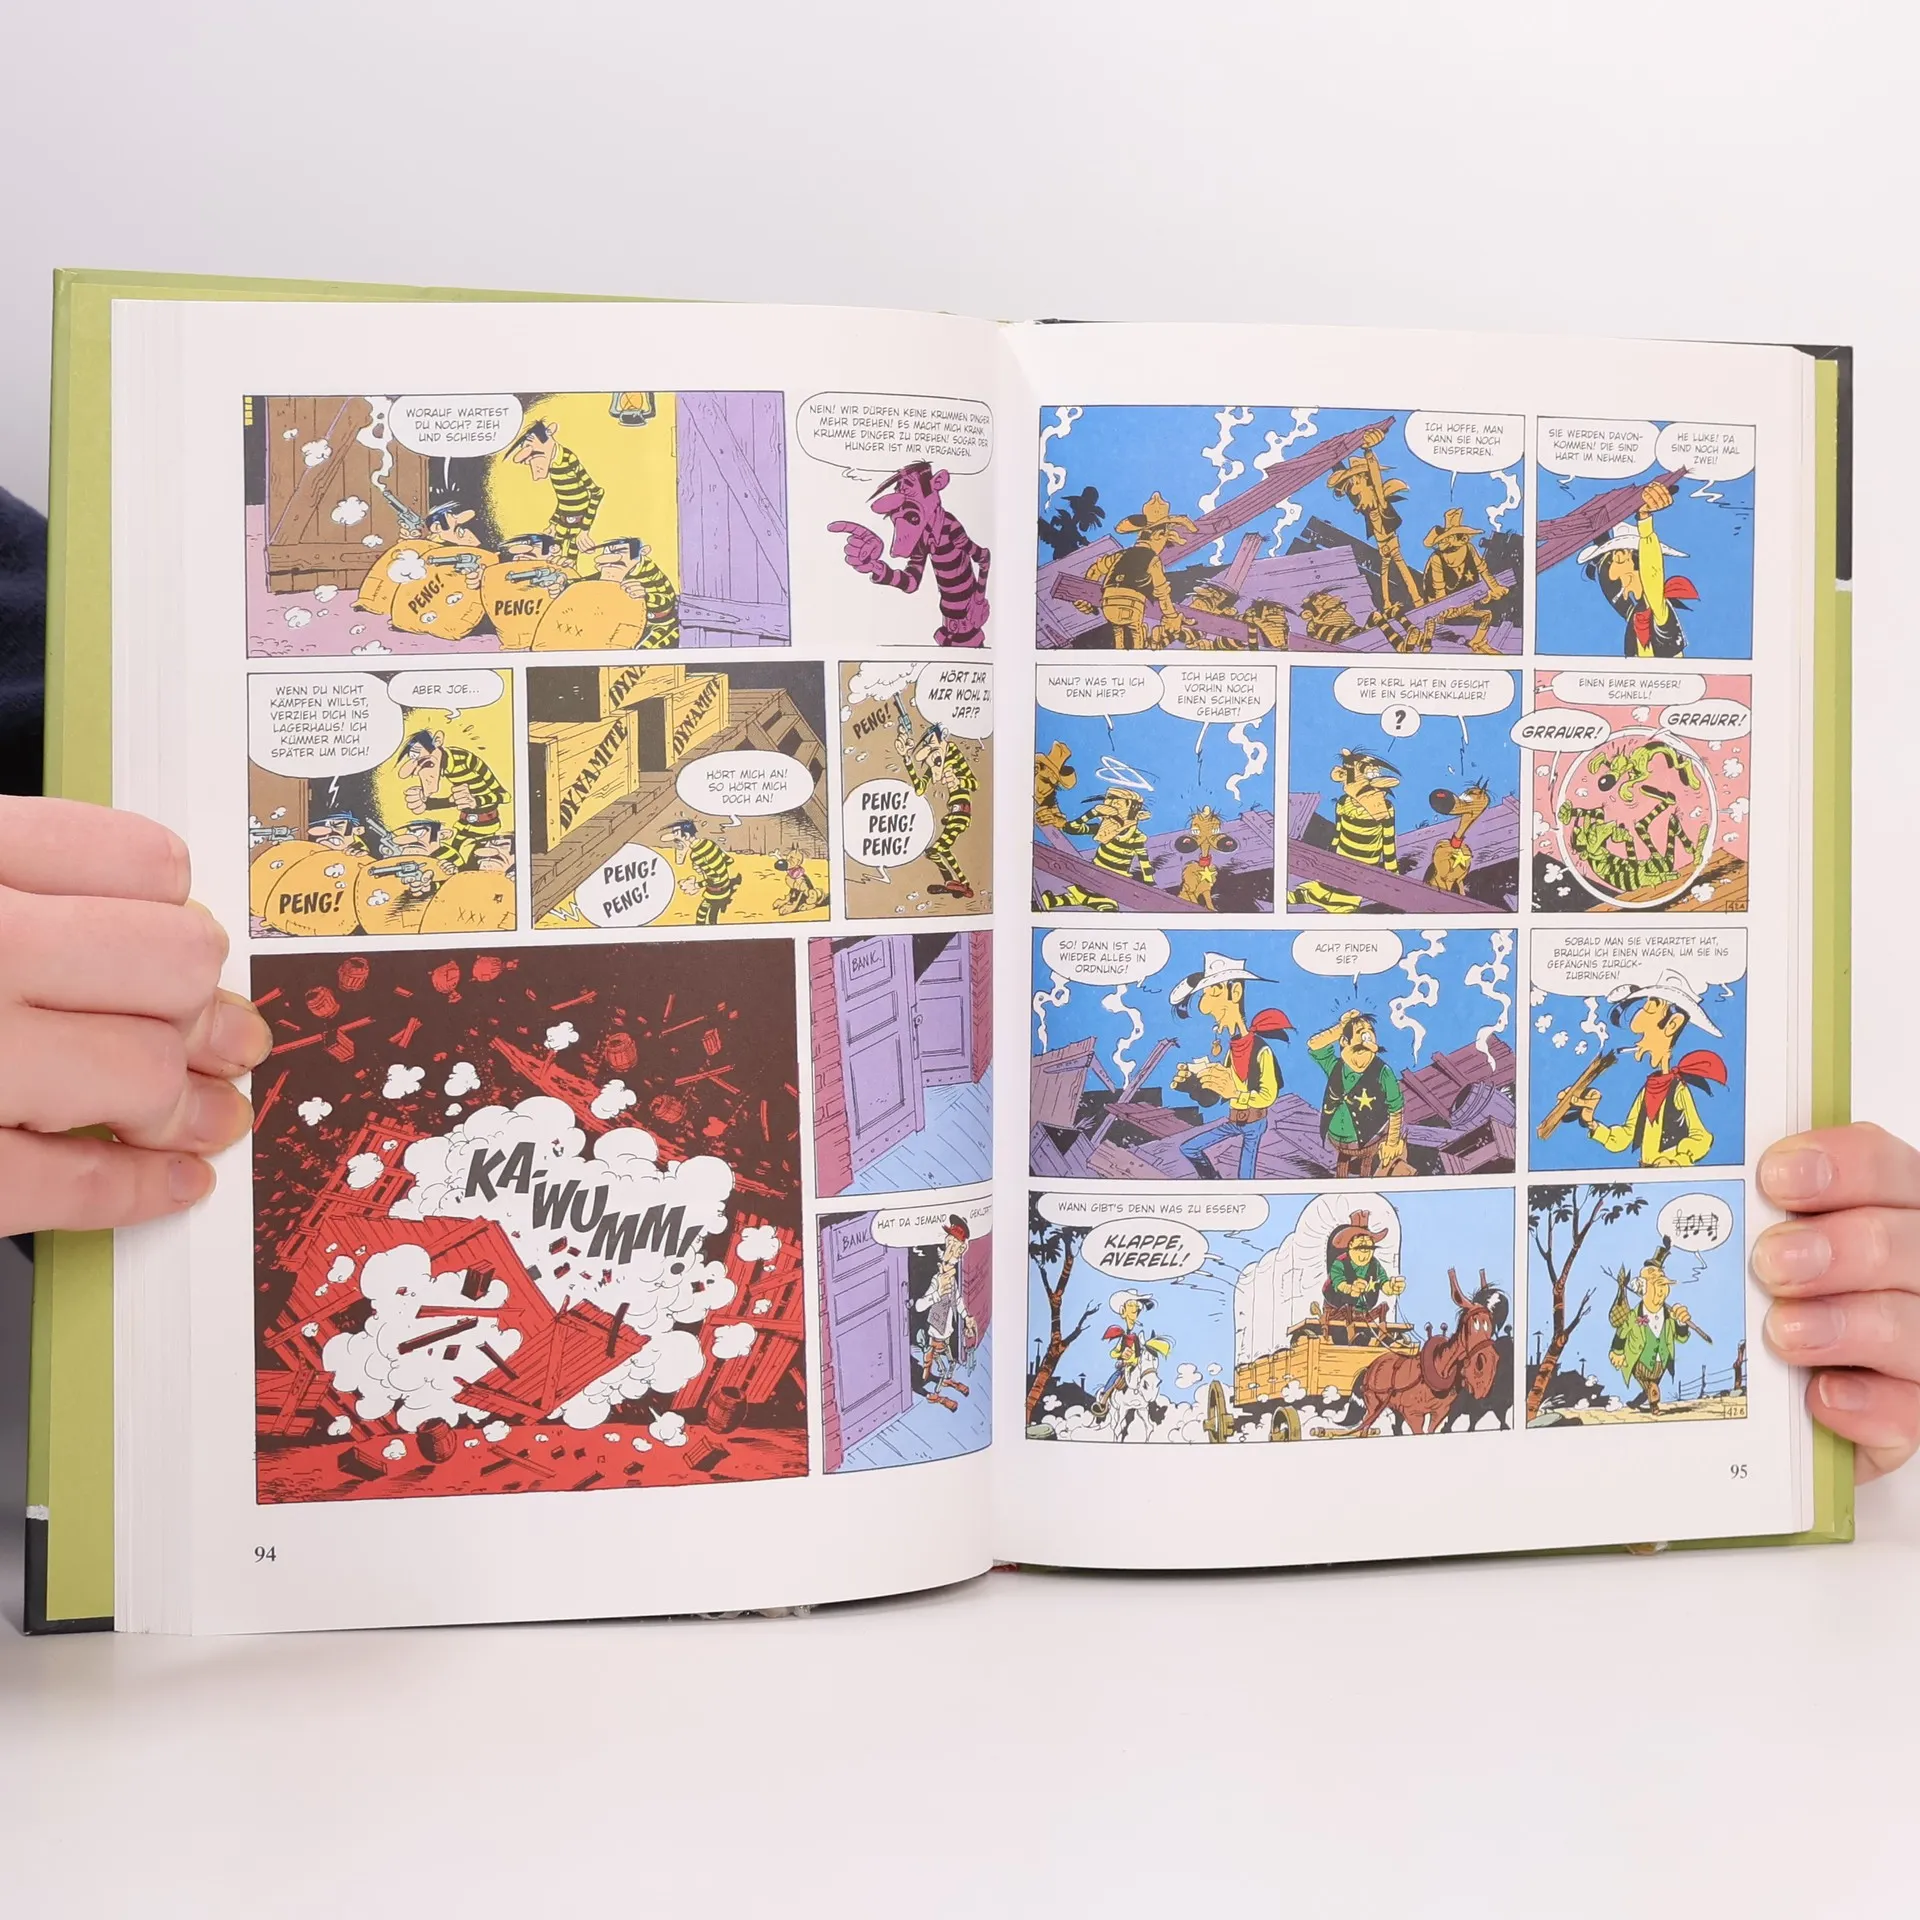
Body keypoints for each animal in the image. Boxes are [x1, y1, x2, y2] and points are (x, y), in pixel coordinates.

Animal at [1352, 1269, 1500, 1436]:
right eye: (1472, 1325)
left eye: (1491, 1324)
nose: (1486, 1375)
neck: (1438, 1370)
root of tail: (1372, 1365)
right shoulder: (1413, 1414)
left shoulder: (1440, 1413)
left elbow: (1431, 1429)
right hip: (1373, 1404)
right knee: (1365, 1425)